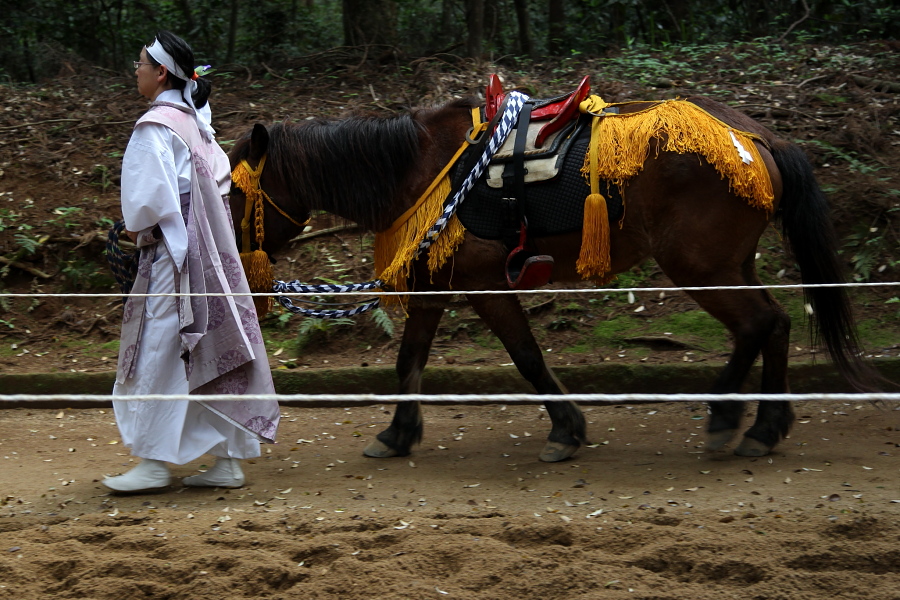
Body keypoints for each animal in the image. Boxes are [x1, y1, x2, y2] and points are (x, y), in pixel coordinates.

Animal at [229, 91, 884, 462]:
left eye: (232, 191)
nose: (231, 256)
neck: (418, 169)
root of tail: (754, 135)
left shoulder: (485, 284)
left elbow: (526, 356)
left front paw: (567, 430)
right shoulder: (435, 287)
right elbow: (409, 361)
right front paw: (397, 434)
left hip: (700, 267)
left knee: (759, 325)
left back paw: (733, 418)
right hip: (729, 264)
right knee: (772, 326)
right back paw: (763, 424)